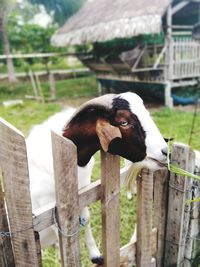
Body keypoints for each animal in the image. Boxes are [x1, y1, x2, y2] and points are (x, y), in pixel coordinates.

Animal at [26, 92, 167, 266]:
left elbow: (85, 219)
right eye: (124, 122)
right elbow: (59, 232)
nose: (165, 151)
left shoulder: (81, 193)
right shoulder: (47, 206)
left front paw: (95, 255)